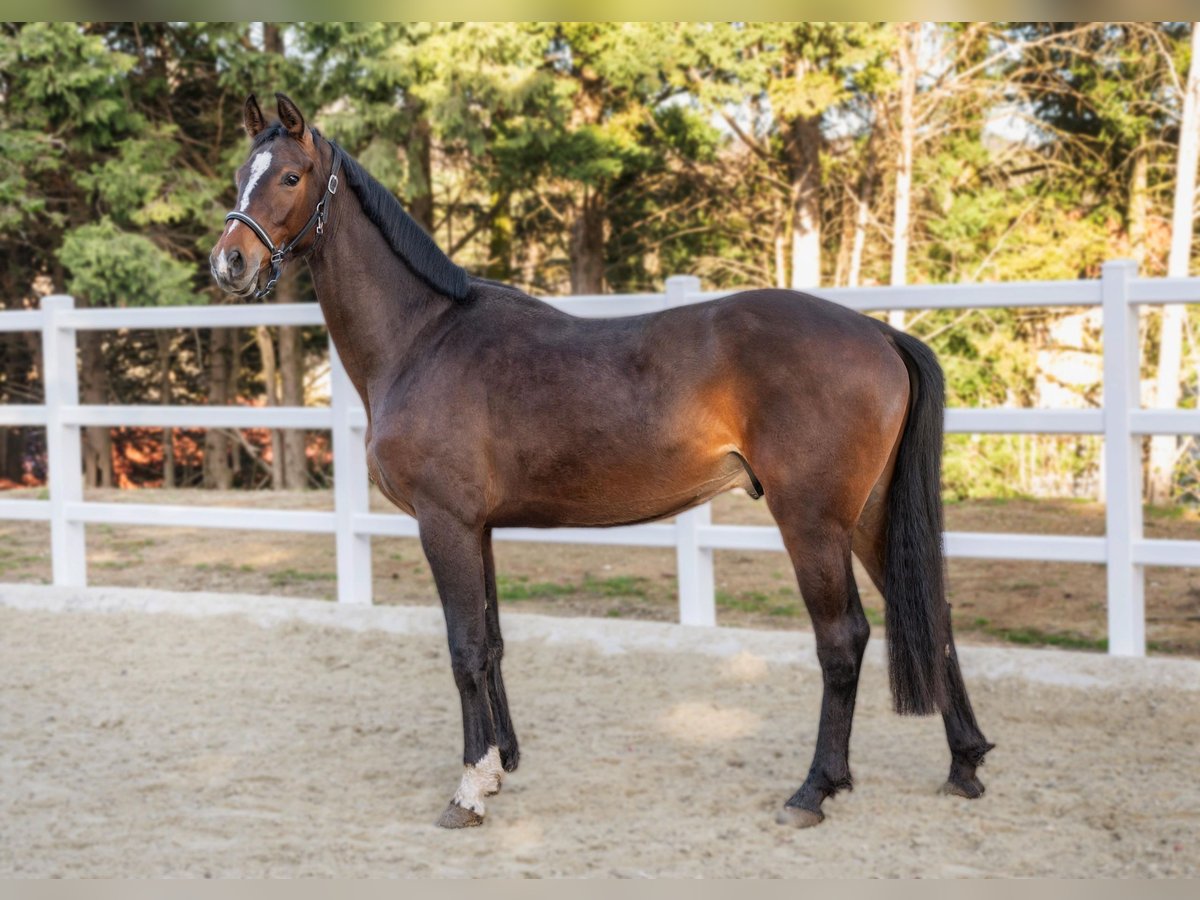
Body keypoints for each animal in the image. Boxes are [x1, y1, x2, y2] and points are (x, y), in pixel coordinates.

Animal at [208, 93, 993, 830]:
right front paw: (500, 765)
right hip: (868, 516)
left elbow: (464, 649)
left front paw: (469, 791)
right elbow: (493, 642)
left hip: (813, 522)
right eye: (240, 174)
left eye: (290, 175)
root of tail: (878, 333)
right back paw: (965, 763)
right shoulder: (479, 528)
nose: (229, 262)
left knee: (843, 639)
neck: (423, 338)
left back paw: (814, 789)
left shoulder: (445, 524)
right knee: (934, 613)